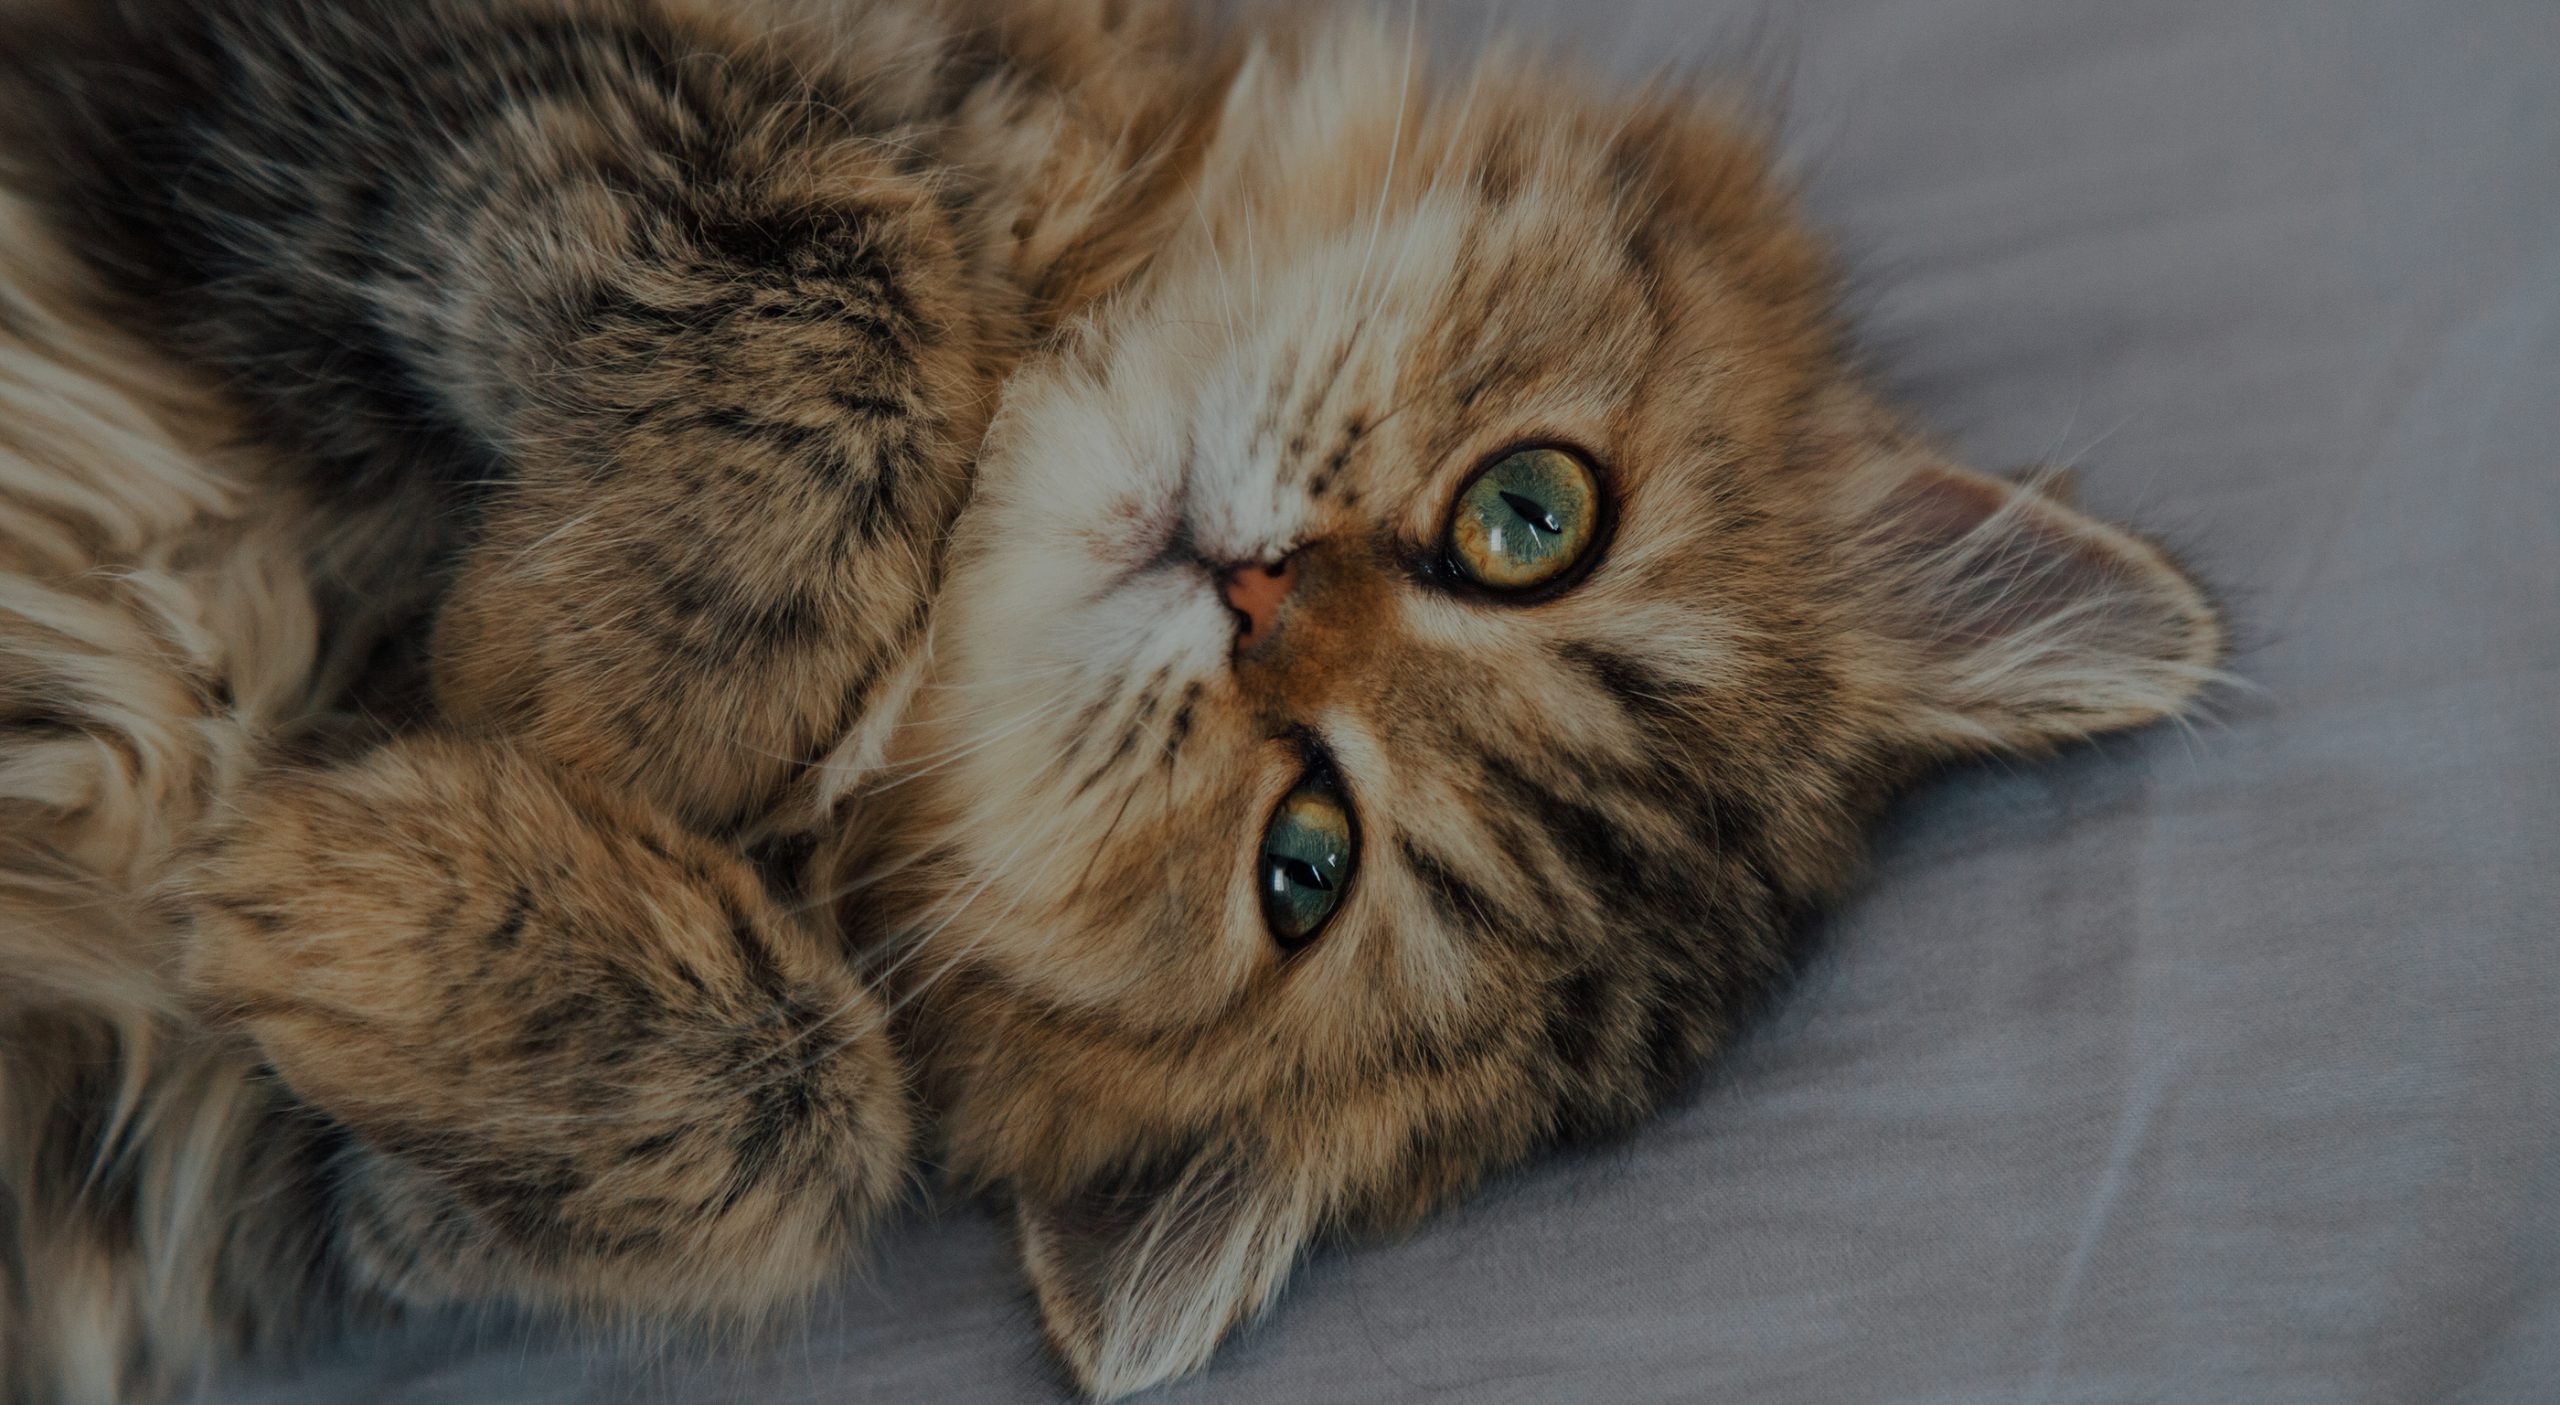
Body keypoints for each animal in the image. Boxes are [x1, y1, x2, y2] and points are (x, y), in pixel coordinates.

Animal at [0, 2, 2222, 1402]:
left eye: (1303, 867)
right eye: (1531, 517)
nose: (1255, 600)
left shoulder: (241, 1174)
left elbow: (818, 1114)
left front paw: (369, 864)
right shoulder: (423, 64)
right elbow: (836, 282)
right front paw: (612, 680)